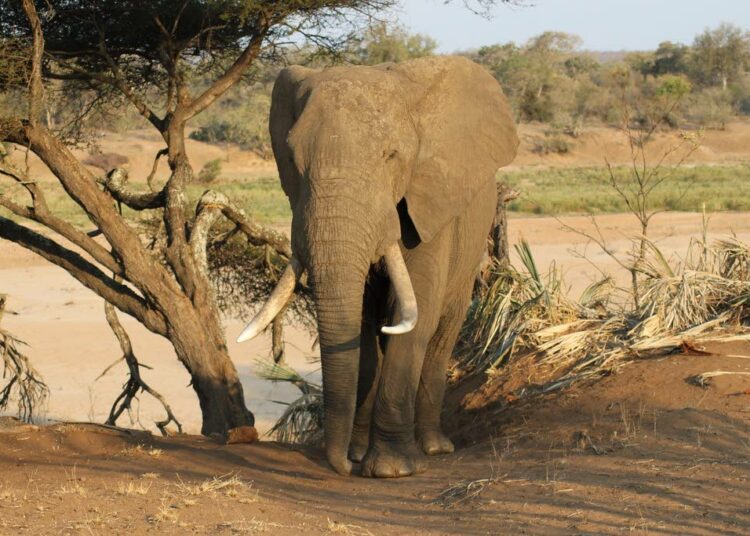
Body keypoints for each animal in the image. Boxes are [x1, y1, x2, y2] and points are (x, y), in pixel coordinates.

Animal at [238, 55, 520, 478]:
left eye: (391, 157)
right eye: (291, 160)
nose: (341, 465)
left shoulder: (427, 204)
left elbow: (416, 314)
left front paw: (391, 469)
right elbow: (363, 323)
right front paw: (358, 457)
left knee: (443, 331)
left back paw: (434, 447)